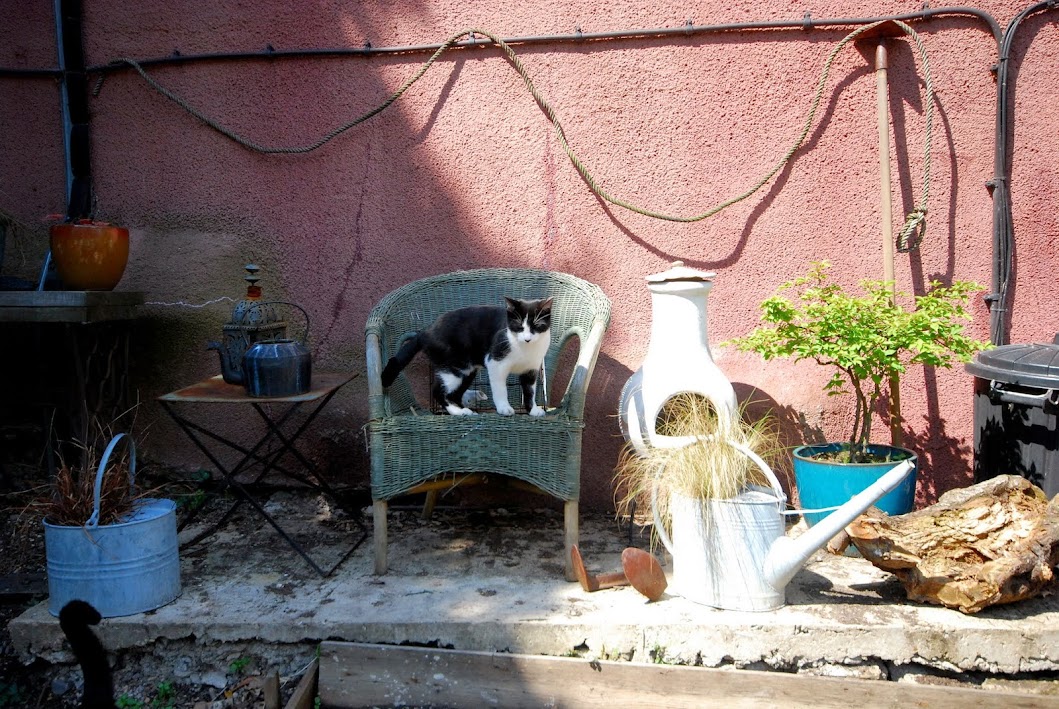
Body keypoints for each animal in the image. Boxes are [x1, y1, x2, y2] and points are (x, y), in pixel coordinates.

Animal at [381, 296, 553, 416]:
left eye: (537, 326)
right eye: (518, 325)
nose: (527, 338)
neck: (525, 348)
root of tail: (425, 332)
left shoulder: (531, 369)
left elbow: (530, 391)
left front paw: (533, 410)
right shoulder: (495, 362)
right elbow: (500, 389)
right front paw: (504, 408)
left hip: (468, 371)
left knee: (455, 394)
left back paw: (465, 410)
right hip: (454, 367)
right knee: (438, 391)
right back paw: (457, 412)